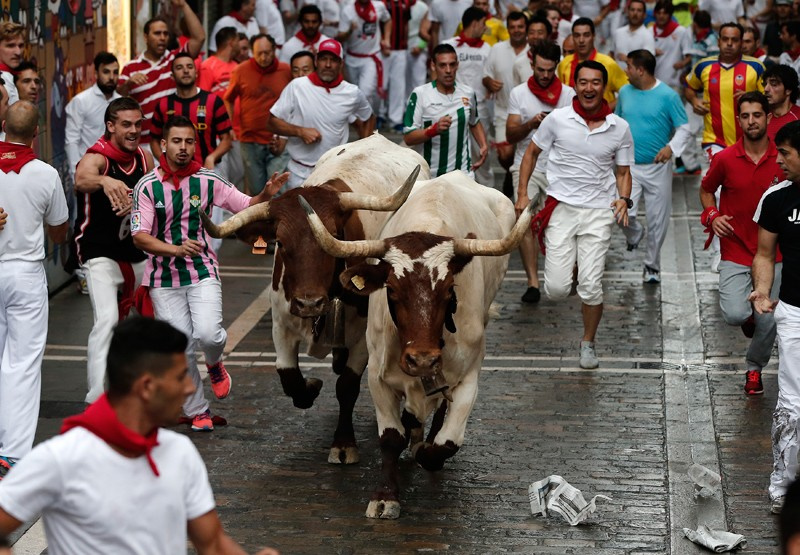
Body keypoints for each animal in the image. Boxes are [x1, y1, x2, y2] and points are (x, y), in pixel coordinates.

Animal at [203, 135, 434, 464]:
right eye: (280, 242)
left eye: (334, 236)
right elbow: (289, 377)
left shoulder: (362, 336)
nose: (309, 303)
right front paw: (311, 386)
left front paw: (343, 443)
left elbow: (347, 386)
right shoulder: (281, 323)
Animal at [296, 172, 536, 520]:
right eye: (392, 290)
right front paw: (385, 495)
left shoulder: (469, 377)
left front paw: (427, 451)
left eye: (449, 290)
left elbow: (447, 442)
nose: (422, 360)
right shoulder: (377, 377)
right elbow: (390, 437)